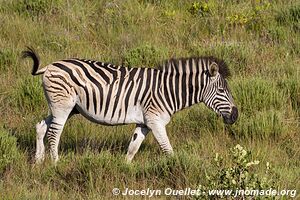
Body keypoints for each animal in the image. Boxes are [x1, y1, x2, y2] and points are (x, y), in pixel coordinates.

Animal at [21, 47, 239, 163]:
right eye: (222, 90)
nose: (235, 116)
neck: (168, 90)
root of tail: (50, 65)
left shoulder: (144, 123)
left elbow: (133, 148)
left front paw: (125, 168)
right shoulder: (155, 121)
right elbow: (168, 149)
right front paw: (176, 169)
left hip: (64, 107)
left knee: (41, 126)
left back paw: (38, 161)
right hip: (62, 106)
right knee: (53, 134)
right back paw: (55, 164)